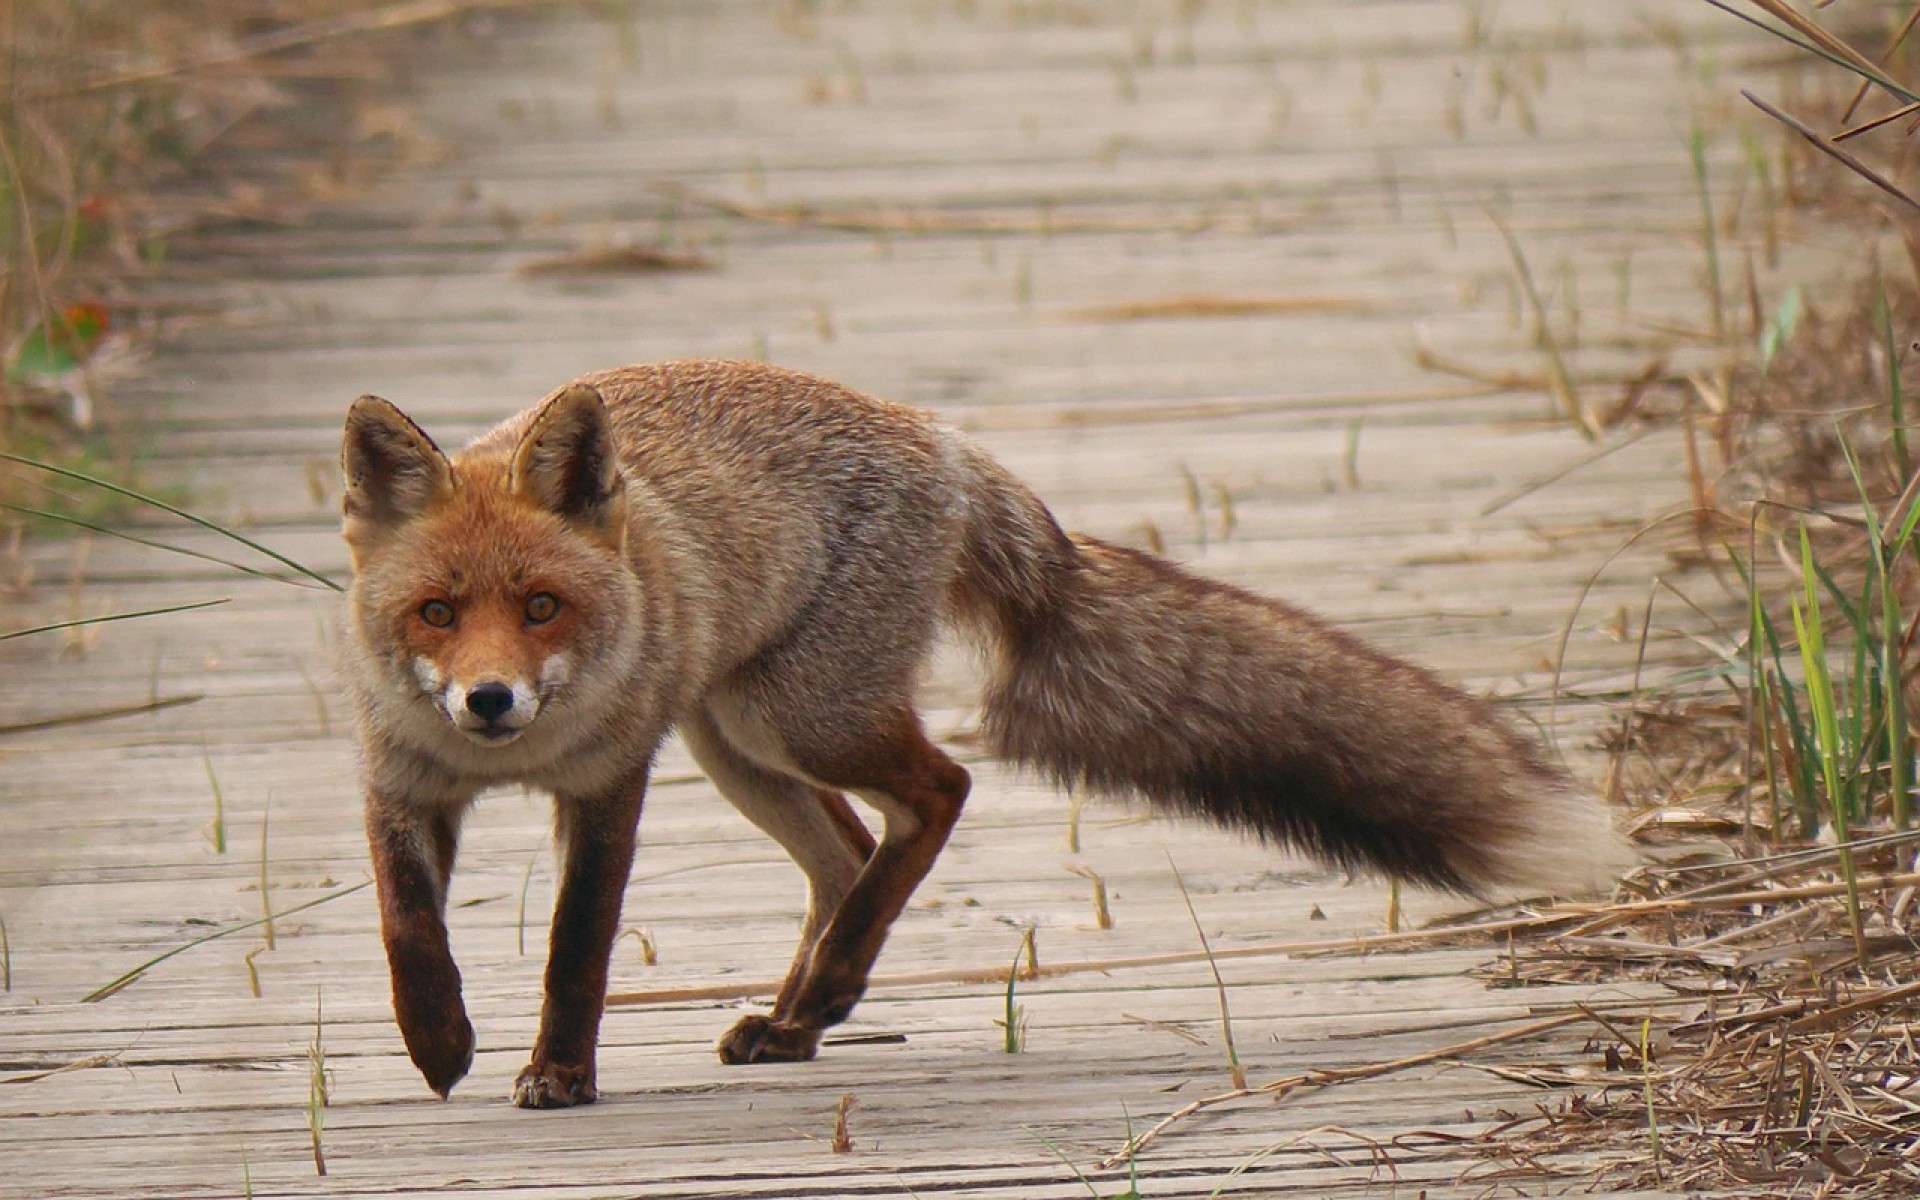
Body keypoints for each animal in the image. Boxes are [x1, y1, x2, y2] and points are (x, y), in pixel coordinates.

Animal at [337, 355, 1628, 1105]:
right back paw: (802, 1017)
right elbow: (405, 928)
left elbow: (575, 949)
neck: (521, 760)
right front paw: (437, 1040)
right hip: (736, 740)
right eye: (437, 613)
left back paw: (824, 995)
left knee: (938, 793)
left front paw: (558, 1071)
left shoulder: (609, 786)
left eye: (542, 608)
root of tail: (947, 442)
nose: (490, 702)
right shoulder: (399, 777)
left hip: (791, 718)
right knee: (851, 855)